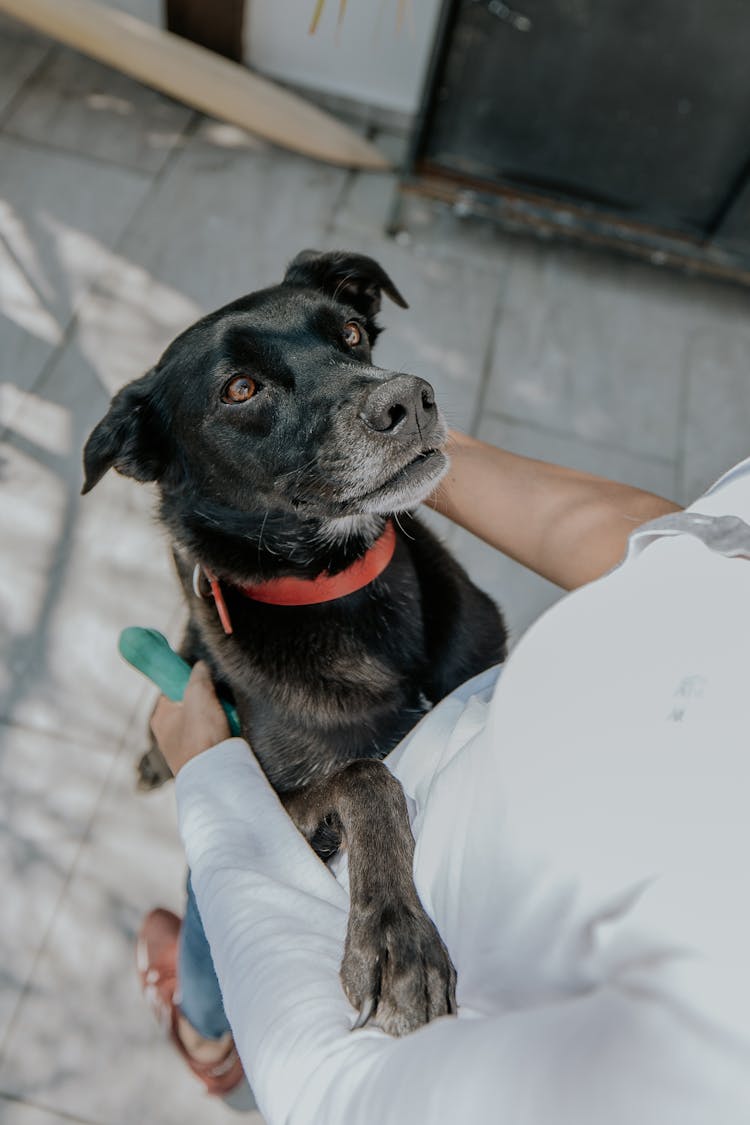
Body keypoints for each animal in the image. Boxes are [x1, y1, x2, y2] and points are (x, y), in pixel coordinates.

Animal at [82, 253, 508, 1035]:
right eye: (240, 389)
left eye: (351, 333)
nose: (411, 399)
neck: (344, 592)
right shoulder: (282, 803)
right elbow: (366, 775)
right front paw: (396, 935)